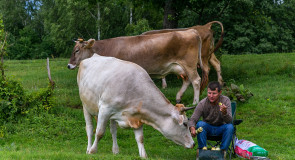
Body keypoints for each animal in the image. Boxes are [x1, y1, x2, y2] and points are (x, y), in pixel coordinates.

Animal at [68, 29, 205, 104]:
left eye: (77, 50)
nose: (69, 65)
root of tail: (191, 31)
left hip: (189, 64)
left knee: (196, 80)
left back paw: (195, 101)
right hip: (180, 67)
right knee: (187, 80)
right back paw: (178, 98)